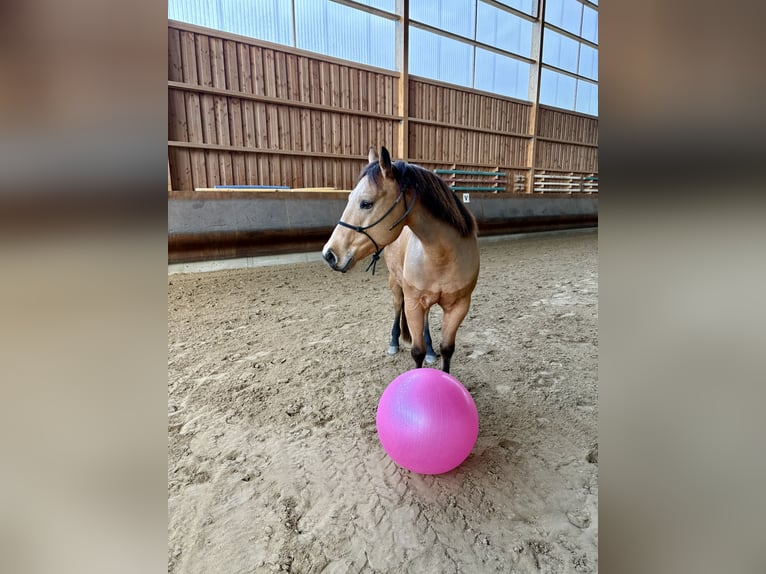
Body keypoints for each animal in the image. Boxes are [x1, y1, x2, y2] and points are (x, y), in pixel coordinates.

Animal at [322, 146, 480, 374]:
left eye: (366, 203)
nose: (329, 254)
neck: (442, 256)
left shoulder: (459, 306)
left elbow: (447, 349)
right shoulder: (412, 303)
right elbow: (417, 351)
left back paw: (431, 350)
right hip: (395, 284)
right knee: (397, 308)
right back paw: (394, 342)